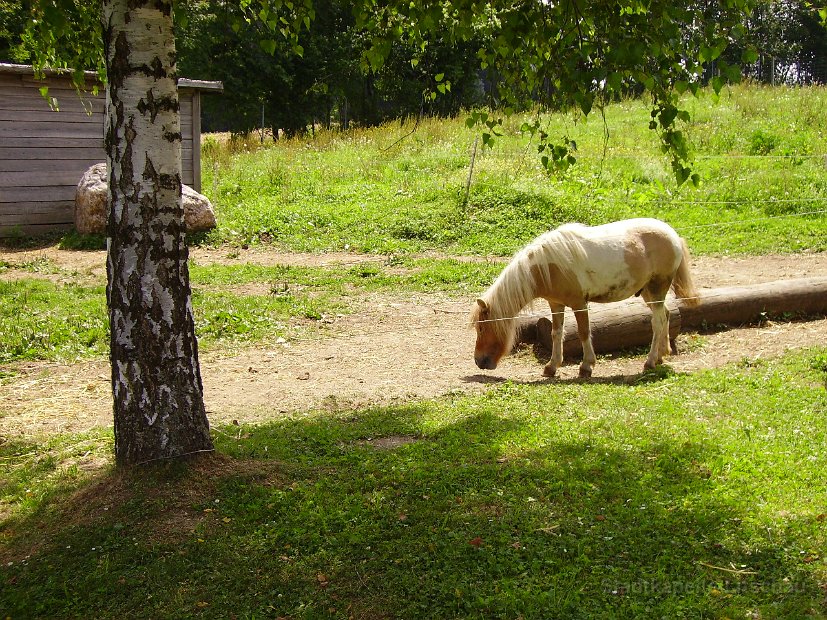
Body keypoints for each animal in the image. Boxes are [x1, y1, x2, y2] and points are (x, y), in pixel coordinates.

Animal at [472, 218, 700, 378]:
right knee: (666, 315)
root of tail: (673, 235)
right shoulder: (556, 304)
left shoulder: (579, 304)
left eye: (481, 328)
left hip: (656, 289)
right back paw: (661, 355)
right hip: (648, 293)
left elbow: (583, 332)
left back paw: (650, 361)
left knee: (658, 321)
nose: (479, 361)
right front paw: (551, 367)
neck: (547, 267)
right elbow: (556, 333)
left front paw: (586, 367)